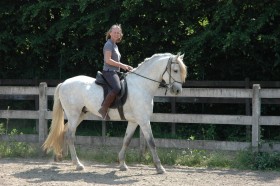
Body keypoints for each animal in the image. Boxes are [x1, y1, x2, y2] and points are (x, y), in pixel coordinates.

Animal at [43, 52, 186, 173]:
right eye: (175, 70)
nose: (178, 91)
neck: (141, 85)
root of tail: (64, 83)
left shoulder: (134, 121)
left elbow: (126, 140)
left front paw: (122, 164)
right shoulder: (144, 120)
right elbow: (151, 142)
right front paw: (160, 167)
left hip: (80, 115)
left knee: (65, 132)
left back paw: (61, 157)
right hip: (73, 114)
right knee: (70, 135)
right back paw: (77, 164)